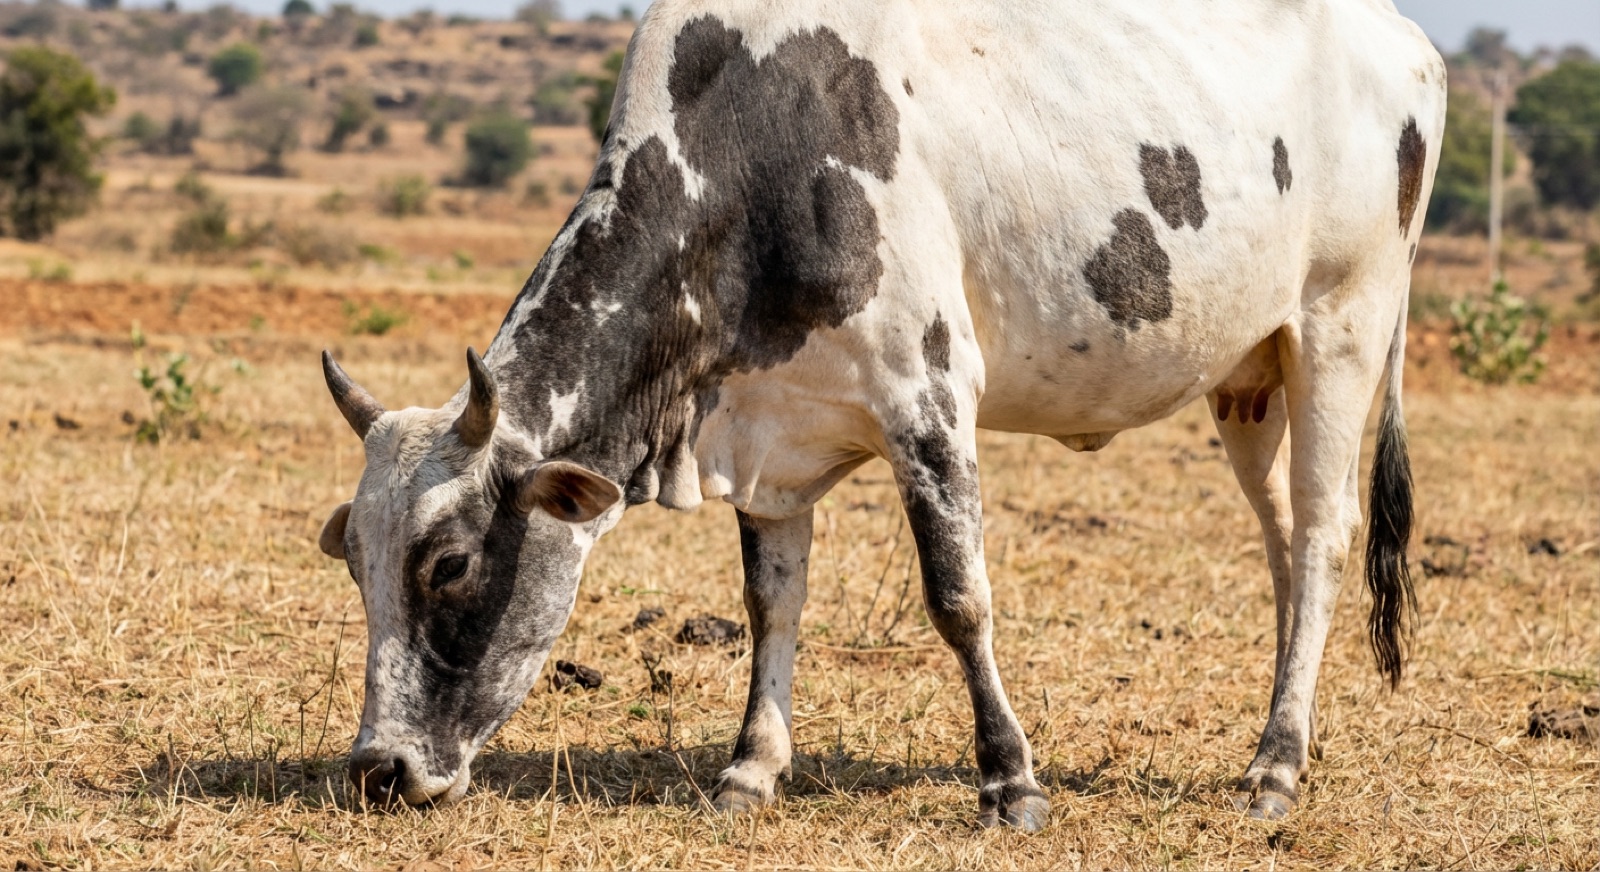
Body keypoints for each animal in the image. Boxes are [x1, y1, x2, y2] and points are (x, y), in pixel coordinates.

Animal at [315, 0, 1444, 829]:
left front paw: (1010, 781)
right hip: (1248, 375)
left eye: (450, 563)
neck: (751, 156)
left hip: (1341, 331)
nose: (378, 768)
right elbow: (771, 603)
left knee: (1326, 537)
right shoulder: (767, 443)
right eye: (356, 562)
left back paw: (1275, 765)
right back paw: (1283, 739)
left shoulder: (928, 398)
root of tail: (1409, 38)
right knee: (1286, 544)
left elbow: (959, 598)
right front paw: (750, 768)